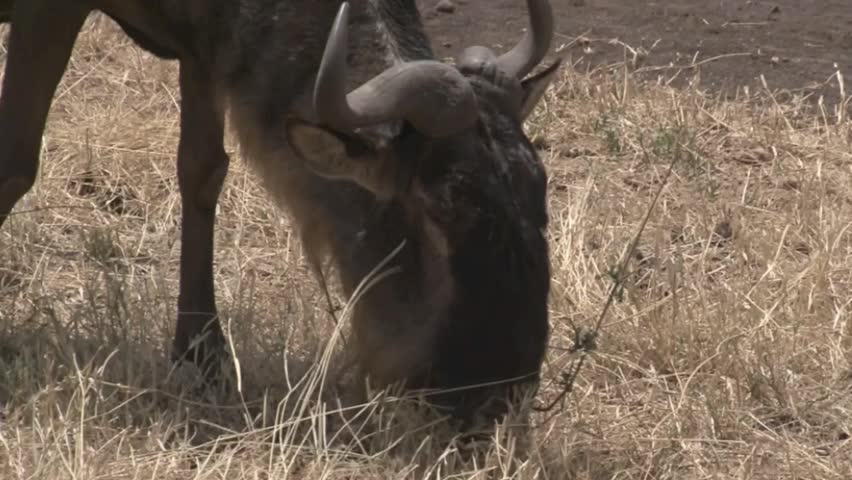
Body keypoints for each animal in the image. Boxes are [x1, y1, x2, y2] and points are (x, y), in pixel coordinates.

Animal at [0, 0, 561, 425]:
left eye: (539, 193)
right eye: (440, 210)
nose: (499, 398)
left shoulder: (207, 47)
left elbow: (202, 170)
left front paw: (202, 357)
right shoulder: (47, 12)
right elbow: (16, 164)